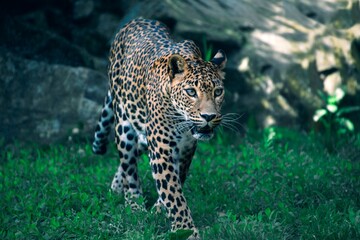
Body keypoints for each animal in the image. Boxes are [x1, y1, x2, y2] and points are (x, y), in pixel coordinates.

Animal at [91, 17, 226, 239]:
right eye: (191, 92)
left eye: (218, 92)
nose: (209, 117)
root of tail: (135, 20)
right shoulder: (162, 148)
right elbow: (173, 192)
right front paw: (186, 231)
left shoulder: (186, 148)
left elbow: (175, 182)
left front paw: (160, 211)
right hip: (124, 125)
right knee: (129, 166)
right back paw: (134, 205)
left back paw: (117, 188)